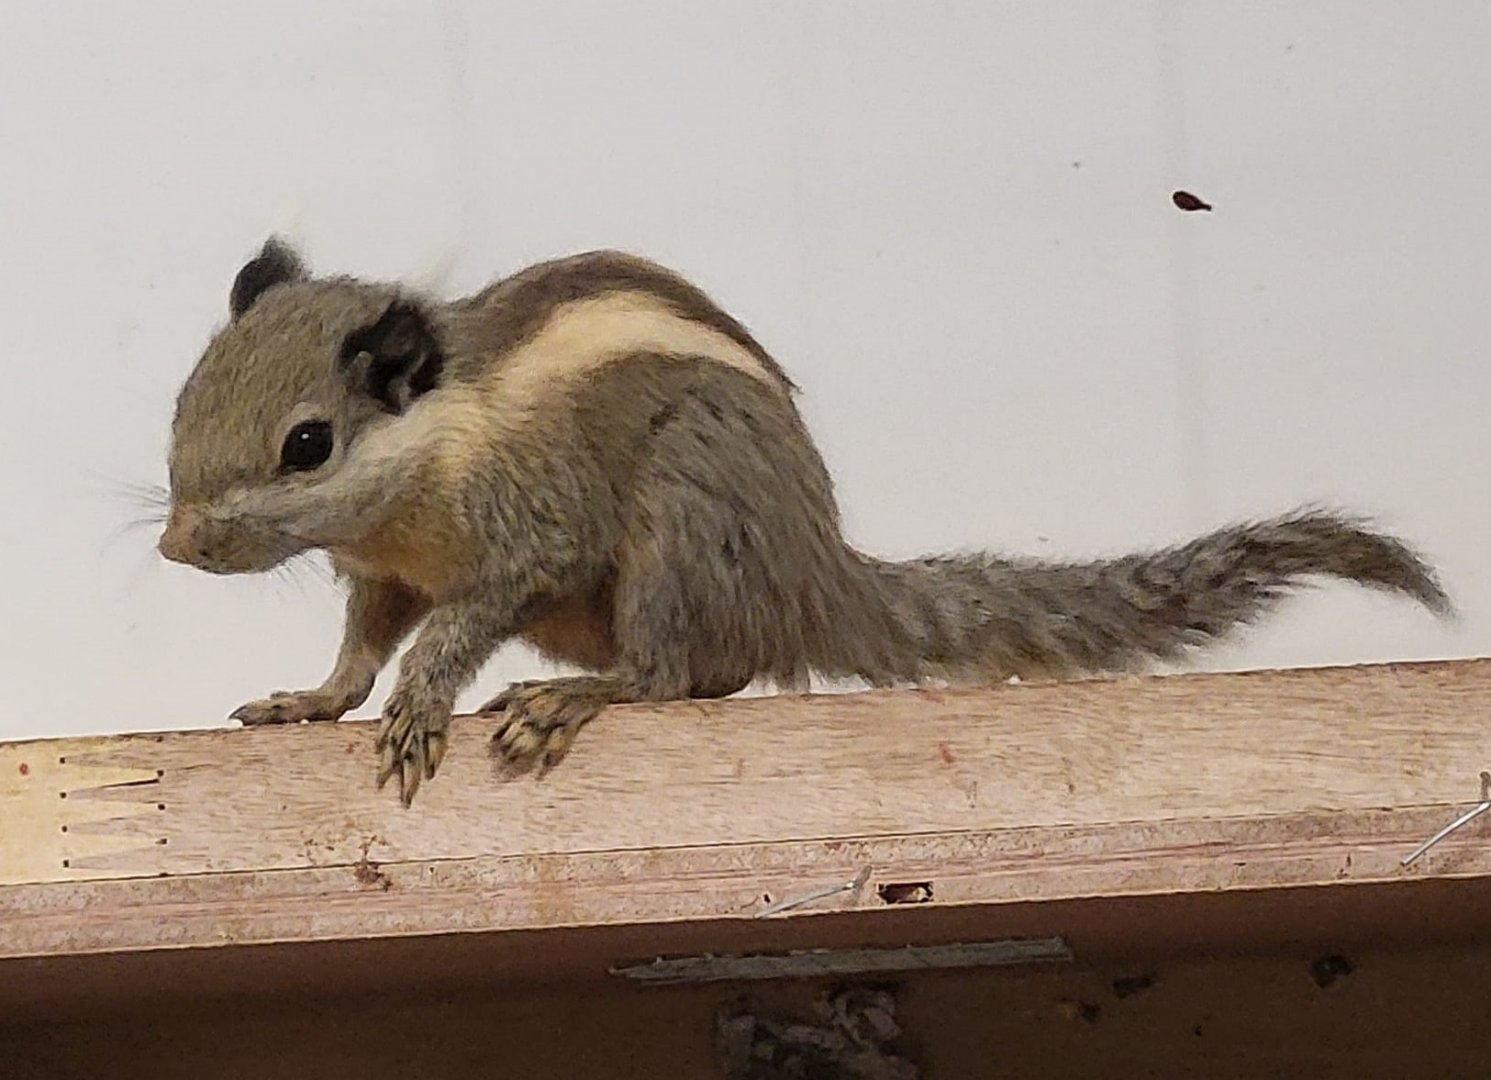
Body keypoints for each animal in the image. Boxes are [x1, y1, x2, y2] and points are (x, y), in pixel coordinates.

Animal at [158, 238, 1453, 805]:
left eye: (307, 443)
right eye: (184, 400)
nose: (177, 545)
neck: (433, 449)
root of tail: (816, 574)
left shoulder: (530, 533)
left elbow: (451, 631)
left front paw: (425, 703)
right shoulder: (383, 573)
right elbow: (360, 645)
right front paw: (311, 699)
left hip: (679, 529)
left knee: (676, 674)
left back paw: (580, 695)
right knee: (720, 676)